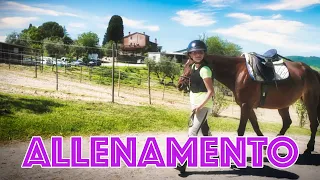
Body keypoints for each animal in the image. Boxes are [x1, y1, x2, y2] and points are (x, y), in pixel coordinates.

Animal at [178, 53, 320, 153]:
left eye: (190, 66)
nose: (180, 84)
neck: (237, 72)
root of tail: (312, 71)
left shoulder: (246, 106)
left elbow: (241, 130)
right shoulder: (247, 106)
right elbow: (256, 126)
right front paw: (264, 147)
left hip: (310, 102)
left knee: (313, 124)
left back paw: (309, 147)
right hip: (283, 104)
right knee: (287, 122)